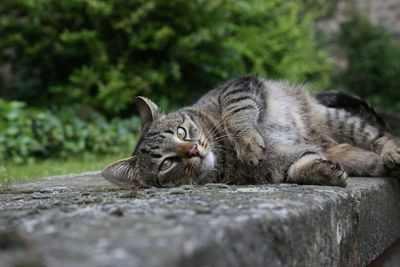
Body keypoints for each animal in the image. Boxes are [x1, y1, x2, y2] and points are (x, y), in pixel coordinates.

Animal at [101, 76, 400, 189]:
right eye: (166, 163)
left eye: (181, 132)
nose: (194, 149)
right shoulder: (281, 164)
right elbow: (297, 167)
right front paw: (323, 172)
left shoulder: (238, 87)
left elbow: (237, 113)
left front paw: (248, 142)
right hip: (346, 150)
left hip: (339, 120)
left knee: (381, 137)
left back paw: (393, 153)